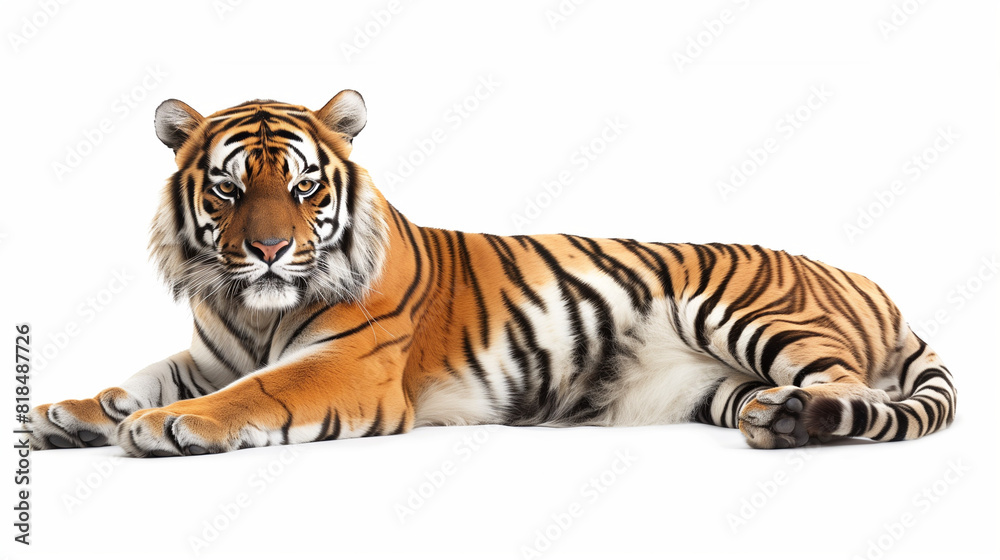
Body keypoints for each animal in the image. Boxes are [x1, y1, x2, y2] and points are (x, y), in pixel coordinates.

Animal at [25, 90, 956, 456]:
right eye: (227, 188)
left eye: (302, 187)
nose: (267, 251)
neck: (253, 310)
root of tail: (875, 285)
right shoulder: (209, 351)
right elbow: (142, 375)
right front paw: (71, 412)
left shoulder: (349, 366)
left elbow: (254, 392)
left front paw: (163, 425)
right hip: (715, 388)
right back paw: (784, 417)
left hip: (752, 312)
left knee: (854, 389)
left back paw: (801, 416)